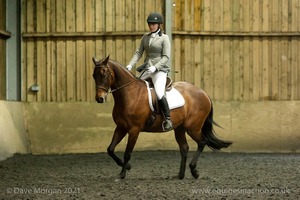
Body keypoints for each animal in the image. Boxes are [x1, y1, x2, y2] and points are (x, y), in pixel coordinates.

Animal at [92, 55, 232, 180]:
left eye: (104, 74)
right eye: (94, 75)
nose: (100, 98)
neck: (129, 94)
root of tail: (204, 93)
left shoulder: (134, 130)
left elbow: (127, 153)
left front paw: (122, 174)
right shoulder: (121, 127)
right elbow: (110, 149)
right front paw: (127, 167)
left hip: (193, 128)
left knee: (202, 142)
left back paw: (194, 171)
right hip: (180, 128)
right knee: (184, 148)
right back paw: (180, 175)